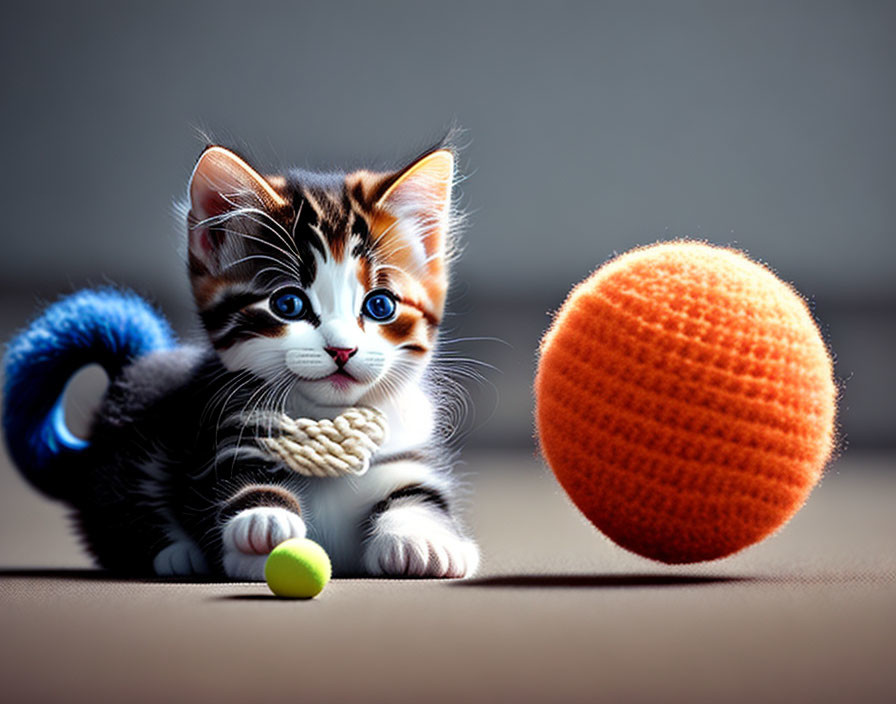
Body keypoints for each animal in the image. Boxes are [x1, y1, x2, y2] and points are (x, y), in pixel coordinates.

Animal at [3, 142, 480, 576]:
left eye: (380, 306)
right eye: (288, 305)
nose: (342, 349)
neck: (327, 416)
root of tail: (134, 366)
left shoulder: (410, 452)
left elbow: (419, 495)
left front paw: (423, 540)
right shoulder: (214, 441)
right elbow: (227, 484)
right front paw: (262, 519)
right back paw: (175, 554)